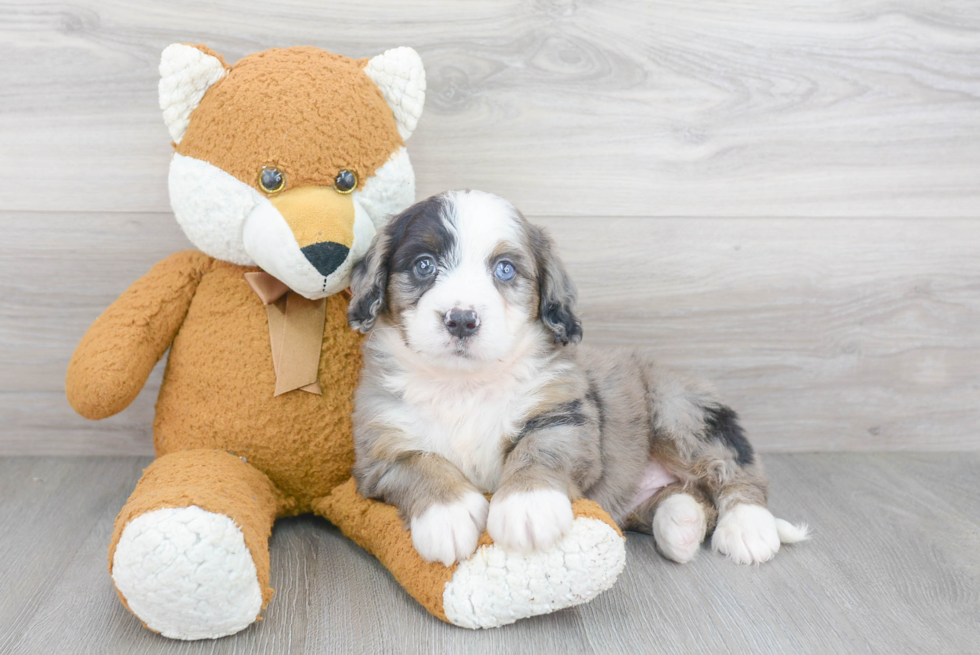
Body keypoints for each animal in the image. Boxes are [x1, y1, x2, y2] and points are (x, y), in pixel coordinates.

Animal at [344, 191, 804, 568]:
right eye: (424, 265)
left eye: (505, 270)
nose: (461, 319)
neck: (464, 385)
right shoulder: (378, 448)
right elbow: (417, 463)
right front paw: (448, 514)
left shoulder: (564, 414)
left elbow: (538, 450)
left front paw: (527, 507)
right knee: (688, 498)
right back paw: (681, 524)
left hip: (679, 408)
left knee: (736, 469)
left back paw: (748, 528)